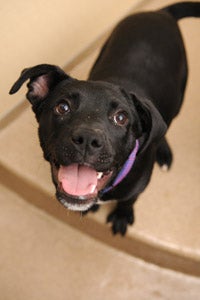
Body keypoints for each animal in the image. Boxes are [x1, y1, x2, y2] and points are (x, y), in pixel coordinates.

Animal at [9, 2, 200, 237]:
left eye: (121, 118)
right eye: (62, 107)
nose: (87, 139)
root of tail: (160, 13)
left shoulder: (138, 186)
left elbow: (129, 200)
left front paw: (122, 216)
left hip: (179, 95)